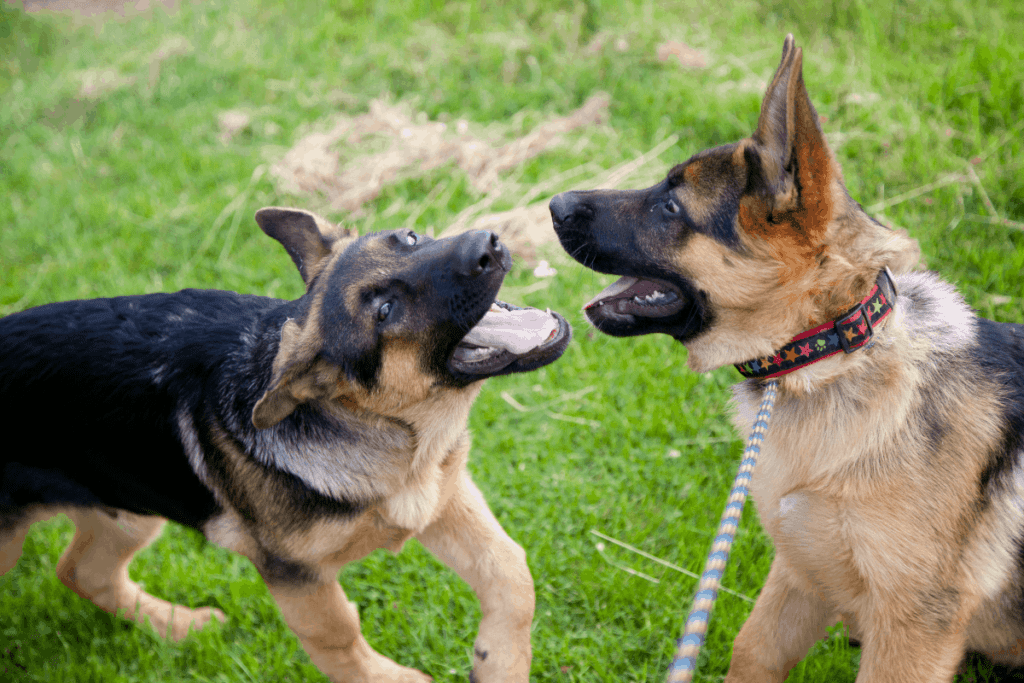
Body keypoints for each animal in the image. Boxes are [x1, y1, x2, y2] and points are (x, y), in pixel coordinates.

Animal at [0, 208, 573, 683]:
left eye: (409, 237)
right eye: (385, 311)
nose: (487, 242)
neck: (378, 428)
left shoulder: (441, 500)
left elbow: (510, 569)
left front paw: (498, 662)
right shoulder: (296, 575)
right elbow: (339, 636)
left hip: (130, 506)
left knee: (83, 572)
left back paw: (180, 626)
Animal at [552, 34, 1024, 679]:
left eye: (671, 207)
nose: (553, 203)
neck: (829, 357)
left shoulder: (912, 629)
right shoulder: (799, 574)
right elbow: (752, 649)